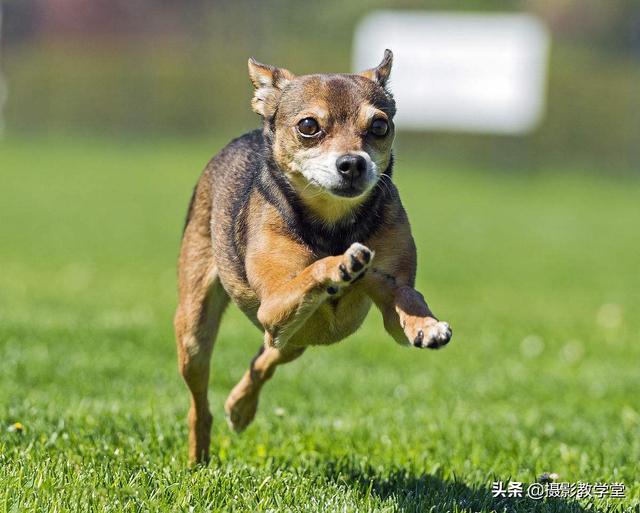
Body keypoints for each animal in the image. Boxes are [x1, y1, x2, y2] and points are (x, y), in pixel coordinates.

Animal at [174, 50, 450, 462]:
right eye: (308, 126)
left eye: (380, 126)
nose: (353, 163)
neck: (334, 224)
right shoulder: (272, 303)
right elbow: (312, 270)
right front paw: (340, 265)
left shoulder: (391, 298)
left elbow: (405, 296)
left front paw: (427, 325)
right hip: (196, 331)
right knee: (200, 404)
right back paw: (199, 457)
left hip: (292, 340)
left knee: (264, 358)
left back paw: (240, 408)